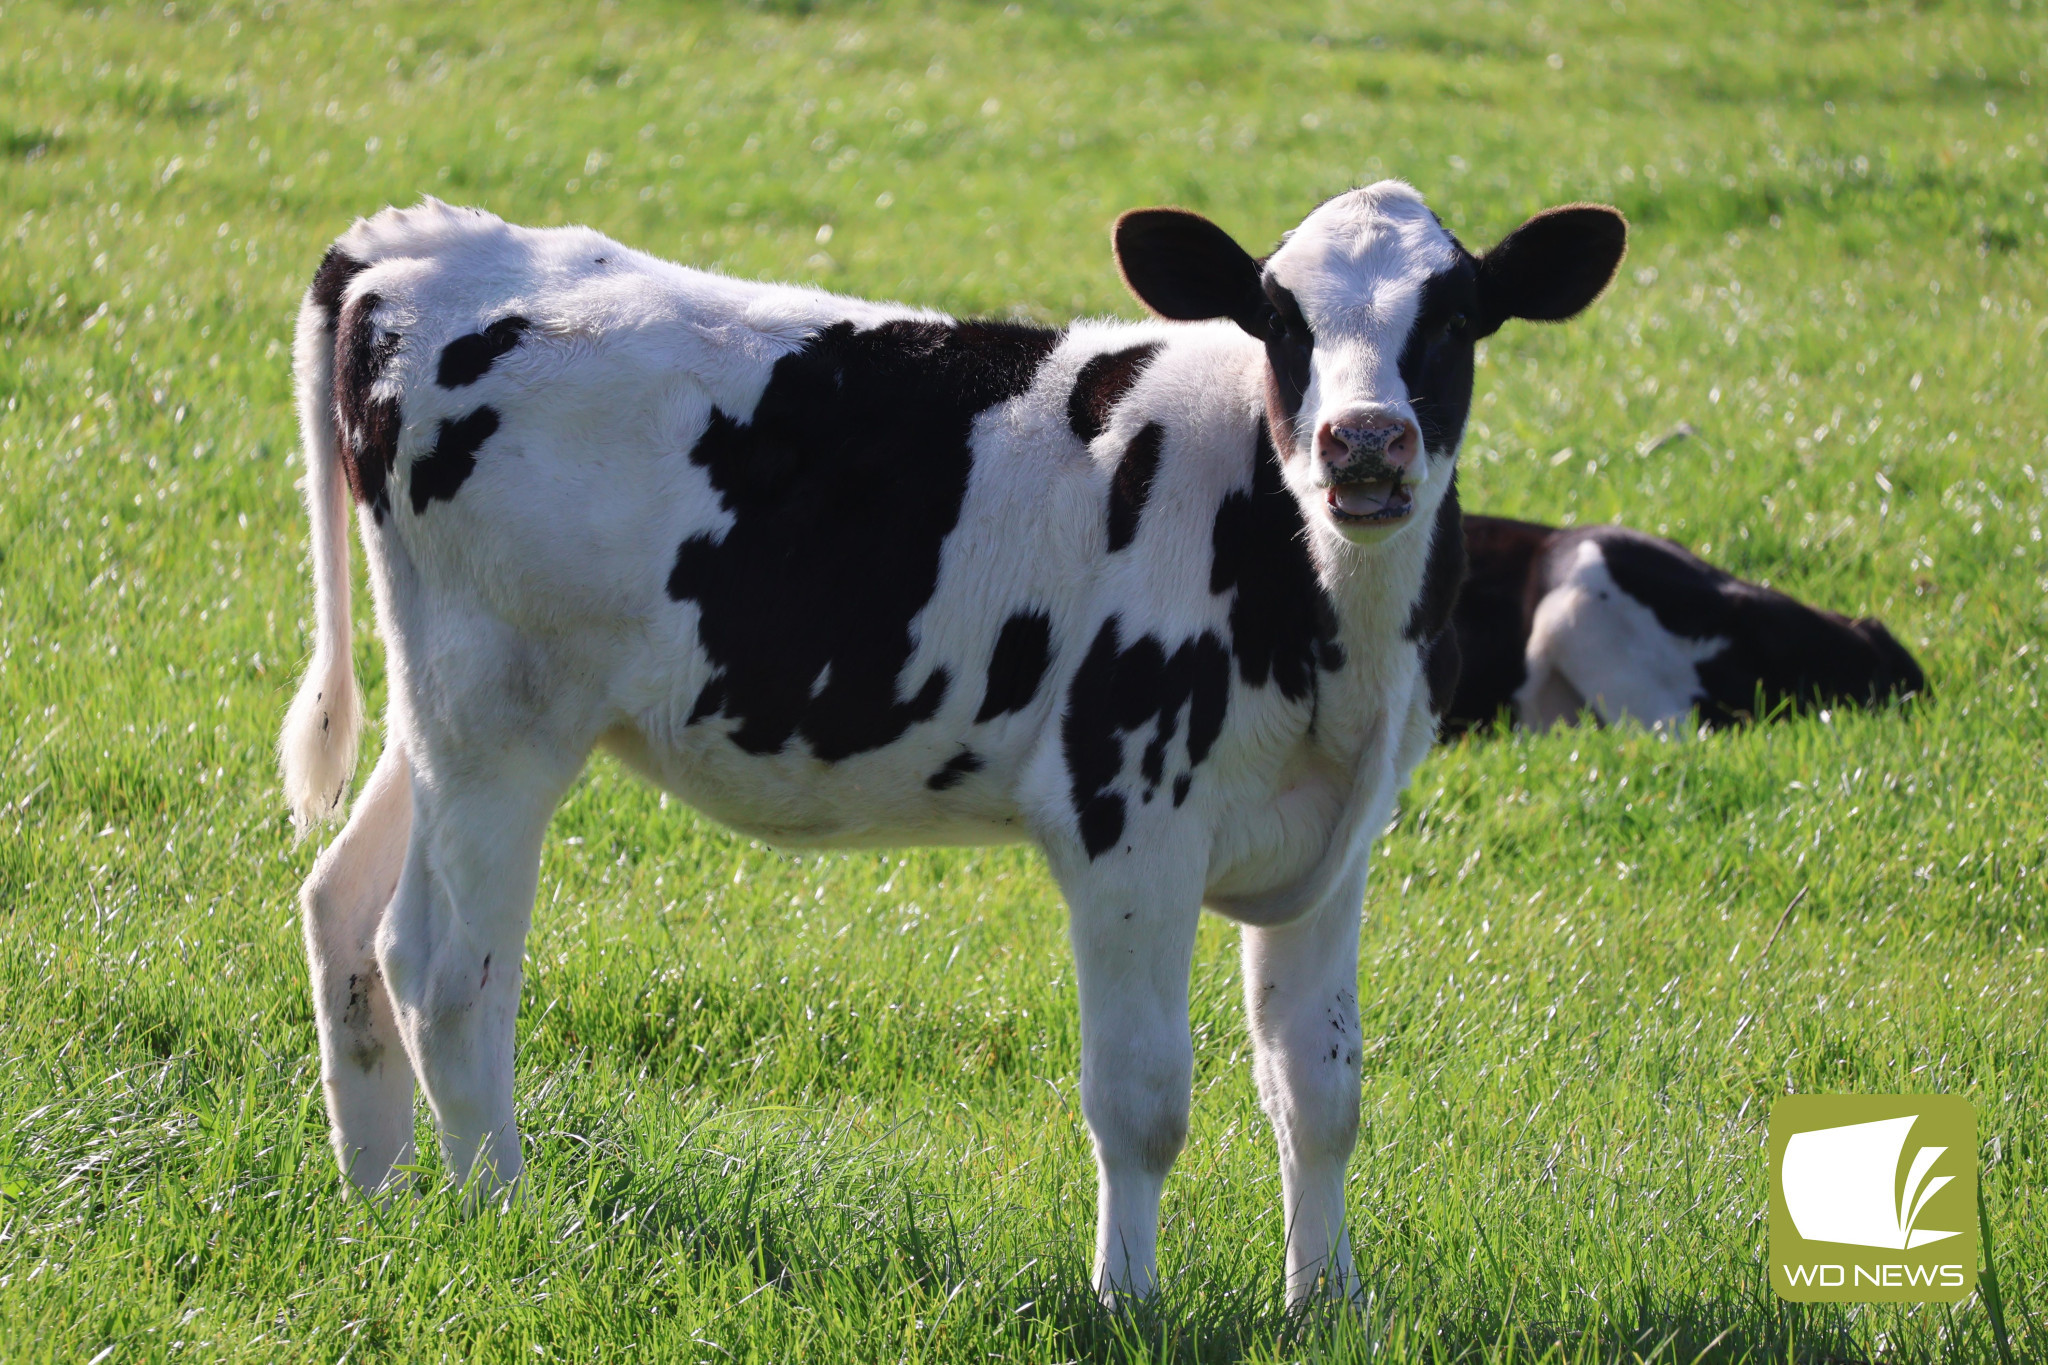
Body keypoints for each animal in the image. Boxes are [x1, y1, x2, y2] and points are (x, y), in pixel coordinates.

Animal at [280, 187, 1622, 1309]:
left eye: (1454, 316)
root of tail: (419, 245)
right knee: (447, 973)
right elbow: (1140, 1100)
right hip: (497, 718)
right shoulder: (1124, 823)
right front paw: (1127, 1303)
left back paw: (380, 1200)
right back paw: (499, 1217)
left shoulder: (1333, 846)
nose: (1363, 441)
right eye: (1278, 318)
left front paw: (1324, 1305)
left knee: (348, 911)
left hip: (441, 711)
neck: (1314, 609)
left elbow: (1320, 1093)